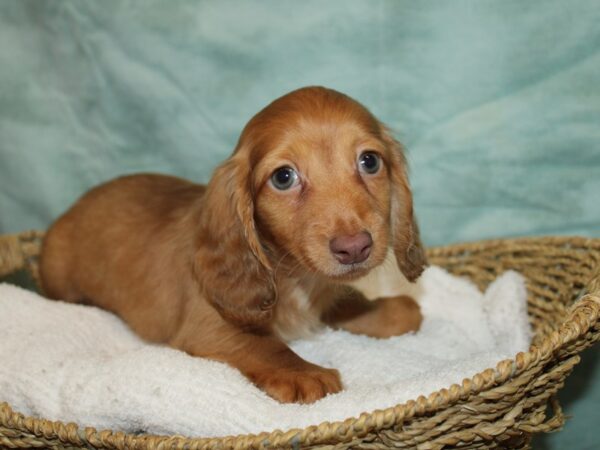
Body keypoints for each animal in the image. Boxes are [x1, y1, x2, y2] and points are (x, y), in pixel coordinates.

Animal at [39, 86, 424, 402]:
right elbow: (264, 344)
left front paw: (389, 310)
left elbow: (356, 306)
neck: (293, 276)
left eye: (369, 161)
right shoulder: (207, 328)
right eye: (284, 177)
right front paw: (304, 372)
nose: (355, 247)